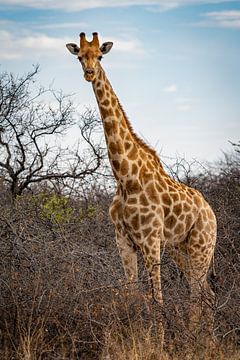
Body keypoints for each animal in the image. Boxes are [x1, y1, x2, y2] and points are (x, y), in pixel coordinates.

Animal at [66, 31, 218, 326]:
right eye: (80, 57)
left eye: (100, 56)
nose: (89, 73)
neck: (125, 176)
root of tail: (210, 211)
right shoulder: (123, 241)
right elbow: (132, 293)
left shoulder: (150, 239)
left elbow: (157, 300)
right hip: (180, 249)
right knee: (207, 295)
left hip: (202, 246)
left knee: (198, 296)